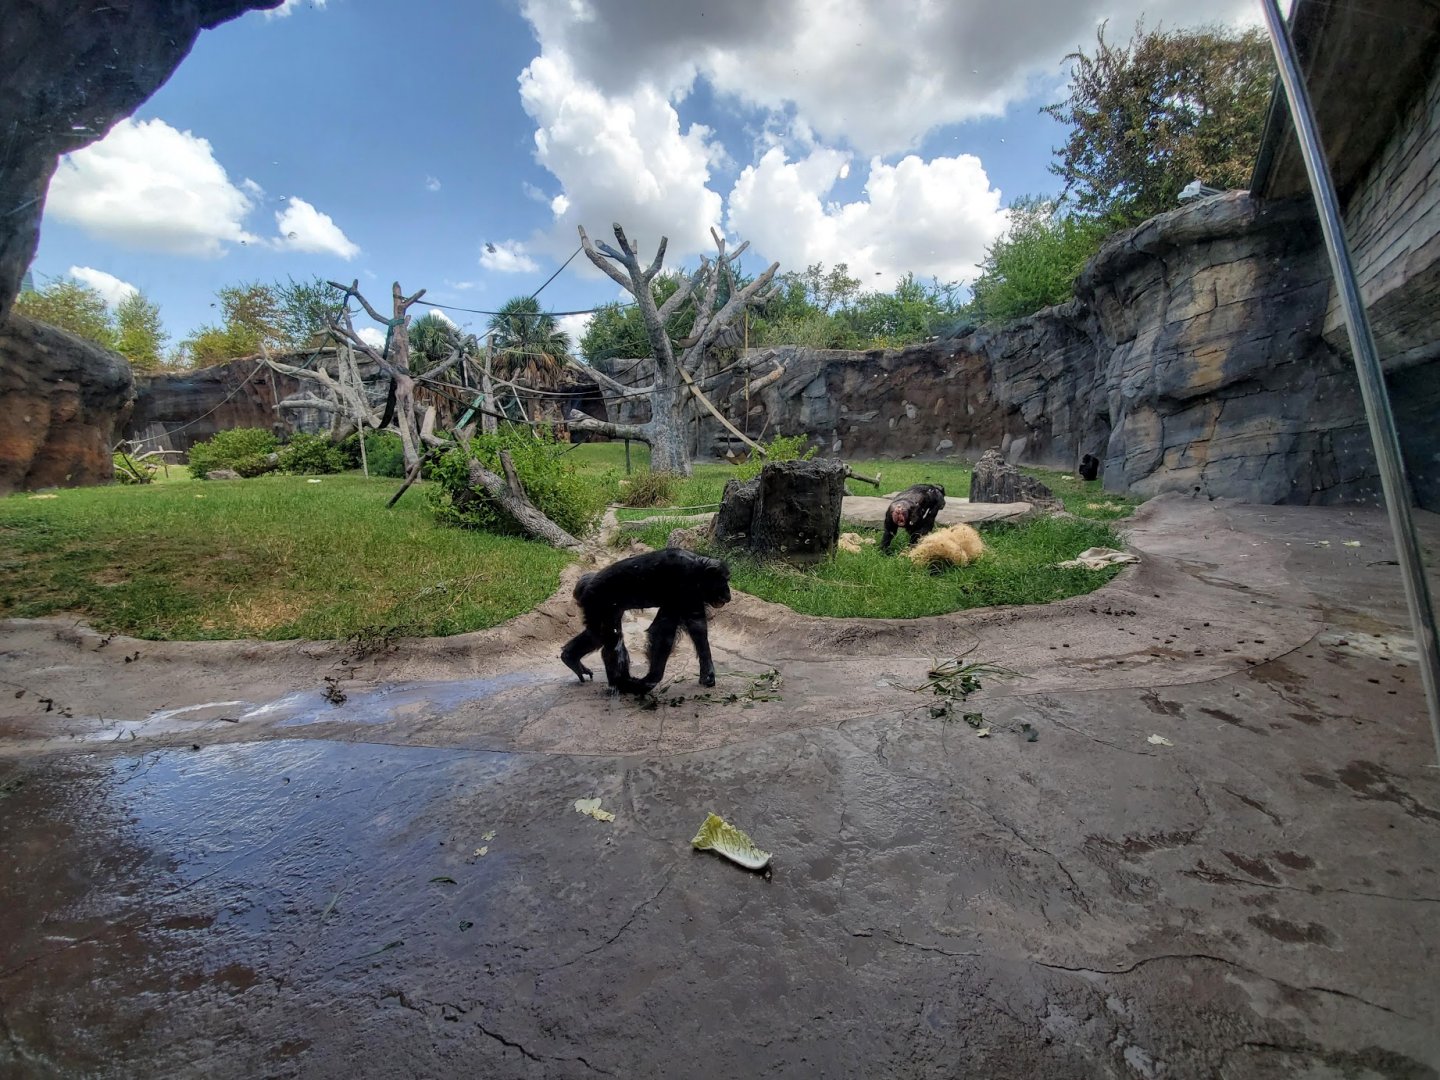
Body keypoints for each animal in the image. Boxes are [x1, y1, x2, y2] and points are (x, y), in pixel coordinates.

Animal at [561, 549, 732, 694]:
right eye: (724, 580)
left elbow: (697, 628)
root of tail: (583, 583)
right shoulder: (682, 587)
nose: (728, 595)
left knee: (596, 636)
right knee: (610, 641)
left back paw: (571, 658)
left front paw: (708, 674)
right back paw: (623, 684)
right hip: (596, 601)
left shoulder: (690, 598)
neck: (697, 569)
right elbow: (663, 631)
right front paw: (651, 679)